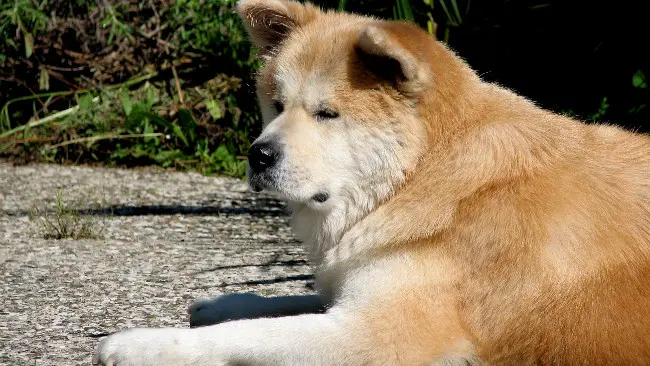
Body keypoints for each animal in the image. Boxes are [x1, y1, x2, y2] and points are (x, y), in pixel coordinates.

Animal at [93, 0, 648, 364]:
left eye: (327, 114)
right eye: (276, 105)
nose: (258, 154)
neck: (424, 178)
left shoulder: (377, 334)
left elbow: (252, 335)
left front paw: (147, 343)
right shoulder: (358, 289)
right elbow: (289, 302)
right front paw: (228, 301)